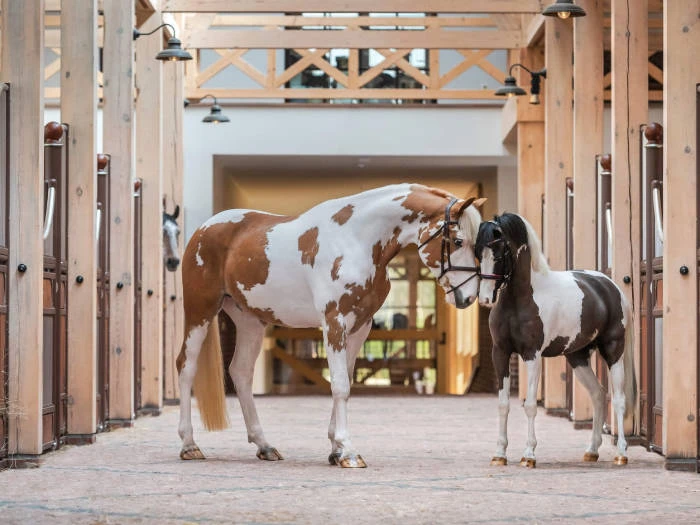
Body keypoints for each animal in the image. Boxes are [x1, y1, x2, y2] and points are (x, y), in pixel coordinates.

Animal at [176, 183, 485, 467]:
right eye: (458, 241)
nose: (468, 297)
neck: (356, 239)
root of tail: (203, 230)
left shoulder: (360, 327)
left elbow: (346, 380)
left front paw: (336, 449)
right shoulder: (334, 321)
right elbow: (339, 385)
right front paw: (348, 451)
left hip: (250, 320)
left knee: (240, 372)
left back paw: (265, 446)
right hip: (200, 311)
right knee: (186, 366)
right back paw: (190, 445)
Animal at [475, 213, 636, 468]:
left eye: (500, 252)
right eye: (478, 252)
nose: (485, 298)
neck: (521, 298)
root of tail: (610, 286)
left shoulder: (532, 355)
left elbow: (530, 405)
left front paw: (529, 455)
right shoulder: (500, 353)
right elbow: (503, 404)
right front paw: (499, 454)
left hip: (613, 350)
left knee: (618, 399)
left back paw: (621, 453)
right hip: (577, 357)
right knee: (598, 394)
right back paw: (591, 451)